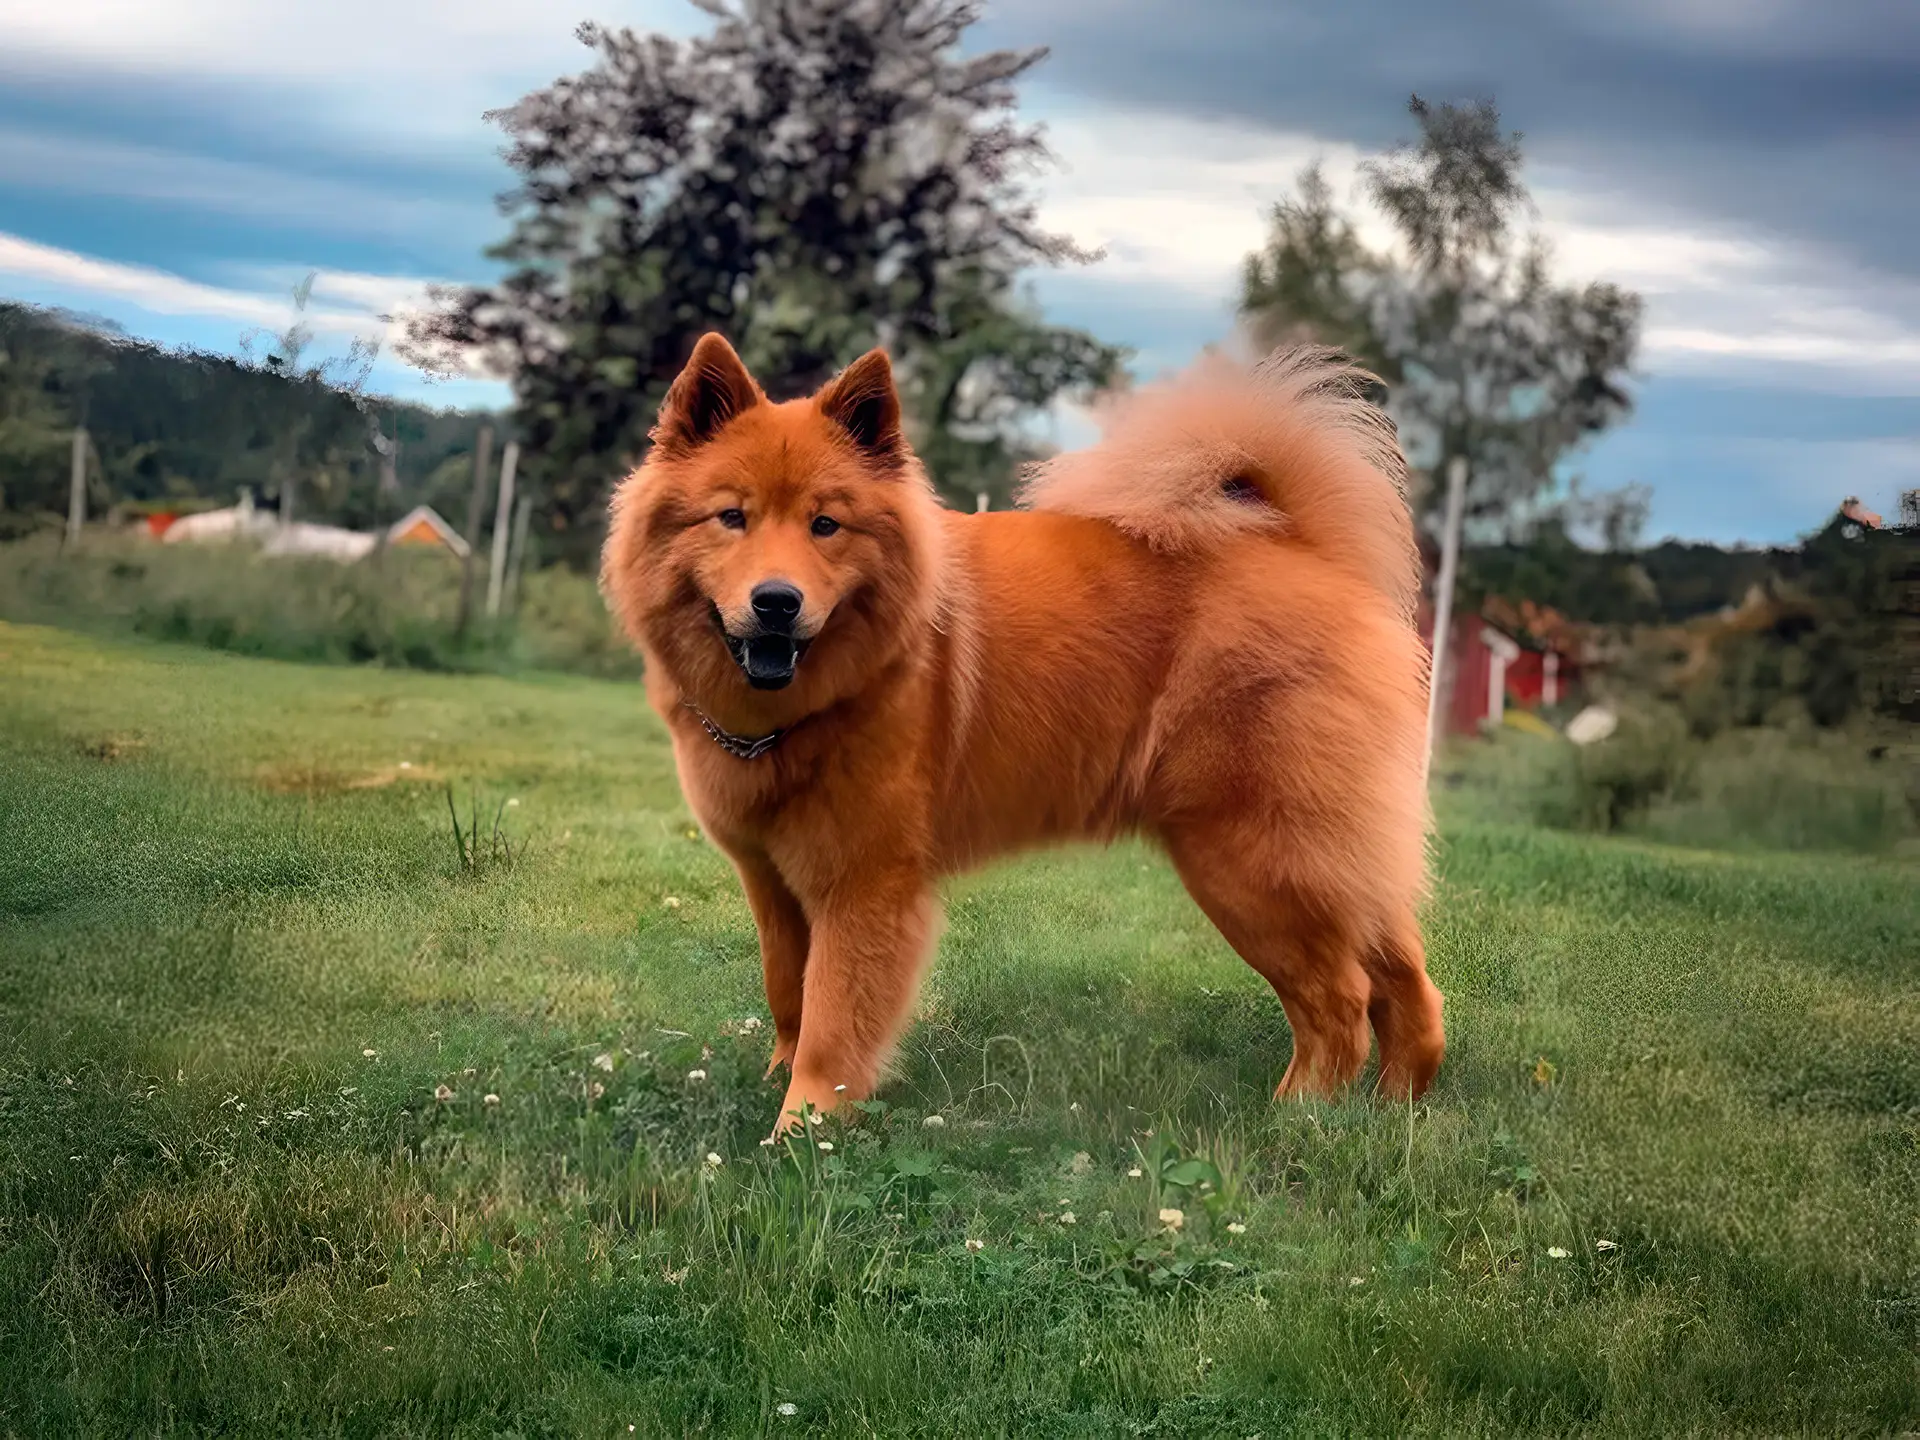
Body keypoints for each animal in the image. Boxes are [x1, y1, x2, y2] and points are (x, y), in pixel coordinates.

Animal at [599, 332, 1443, 1136]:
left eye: (825, 525)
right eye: (731, 517)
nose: (777, 601)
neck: (807, 710)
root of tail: (1308, 551)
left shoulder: (863, 886)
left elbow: (833, 1023)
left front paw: (799, 1131)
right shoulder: (772, 883)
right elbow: (788, 995)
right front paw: (776, 1080)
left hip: (1250, 862)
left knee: (1339, 1005)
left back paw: (1298, 1117)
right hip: (1327, 862)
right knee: (1407, 985)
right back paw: (1390, 1112)